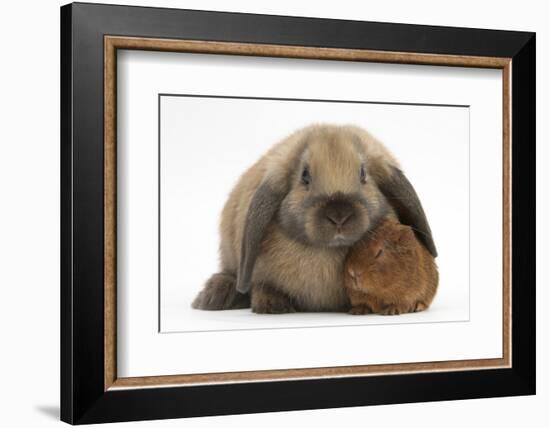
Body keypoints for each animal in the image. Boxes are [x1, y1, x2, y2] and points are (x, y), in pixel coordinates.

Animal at [192, 123, 438, 314]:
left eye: (363, 174)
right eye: (305, 176)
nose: (339, 215)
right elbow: (263, 286)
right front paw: (271, 304)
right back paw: (213, 297)